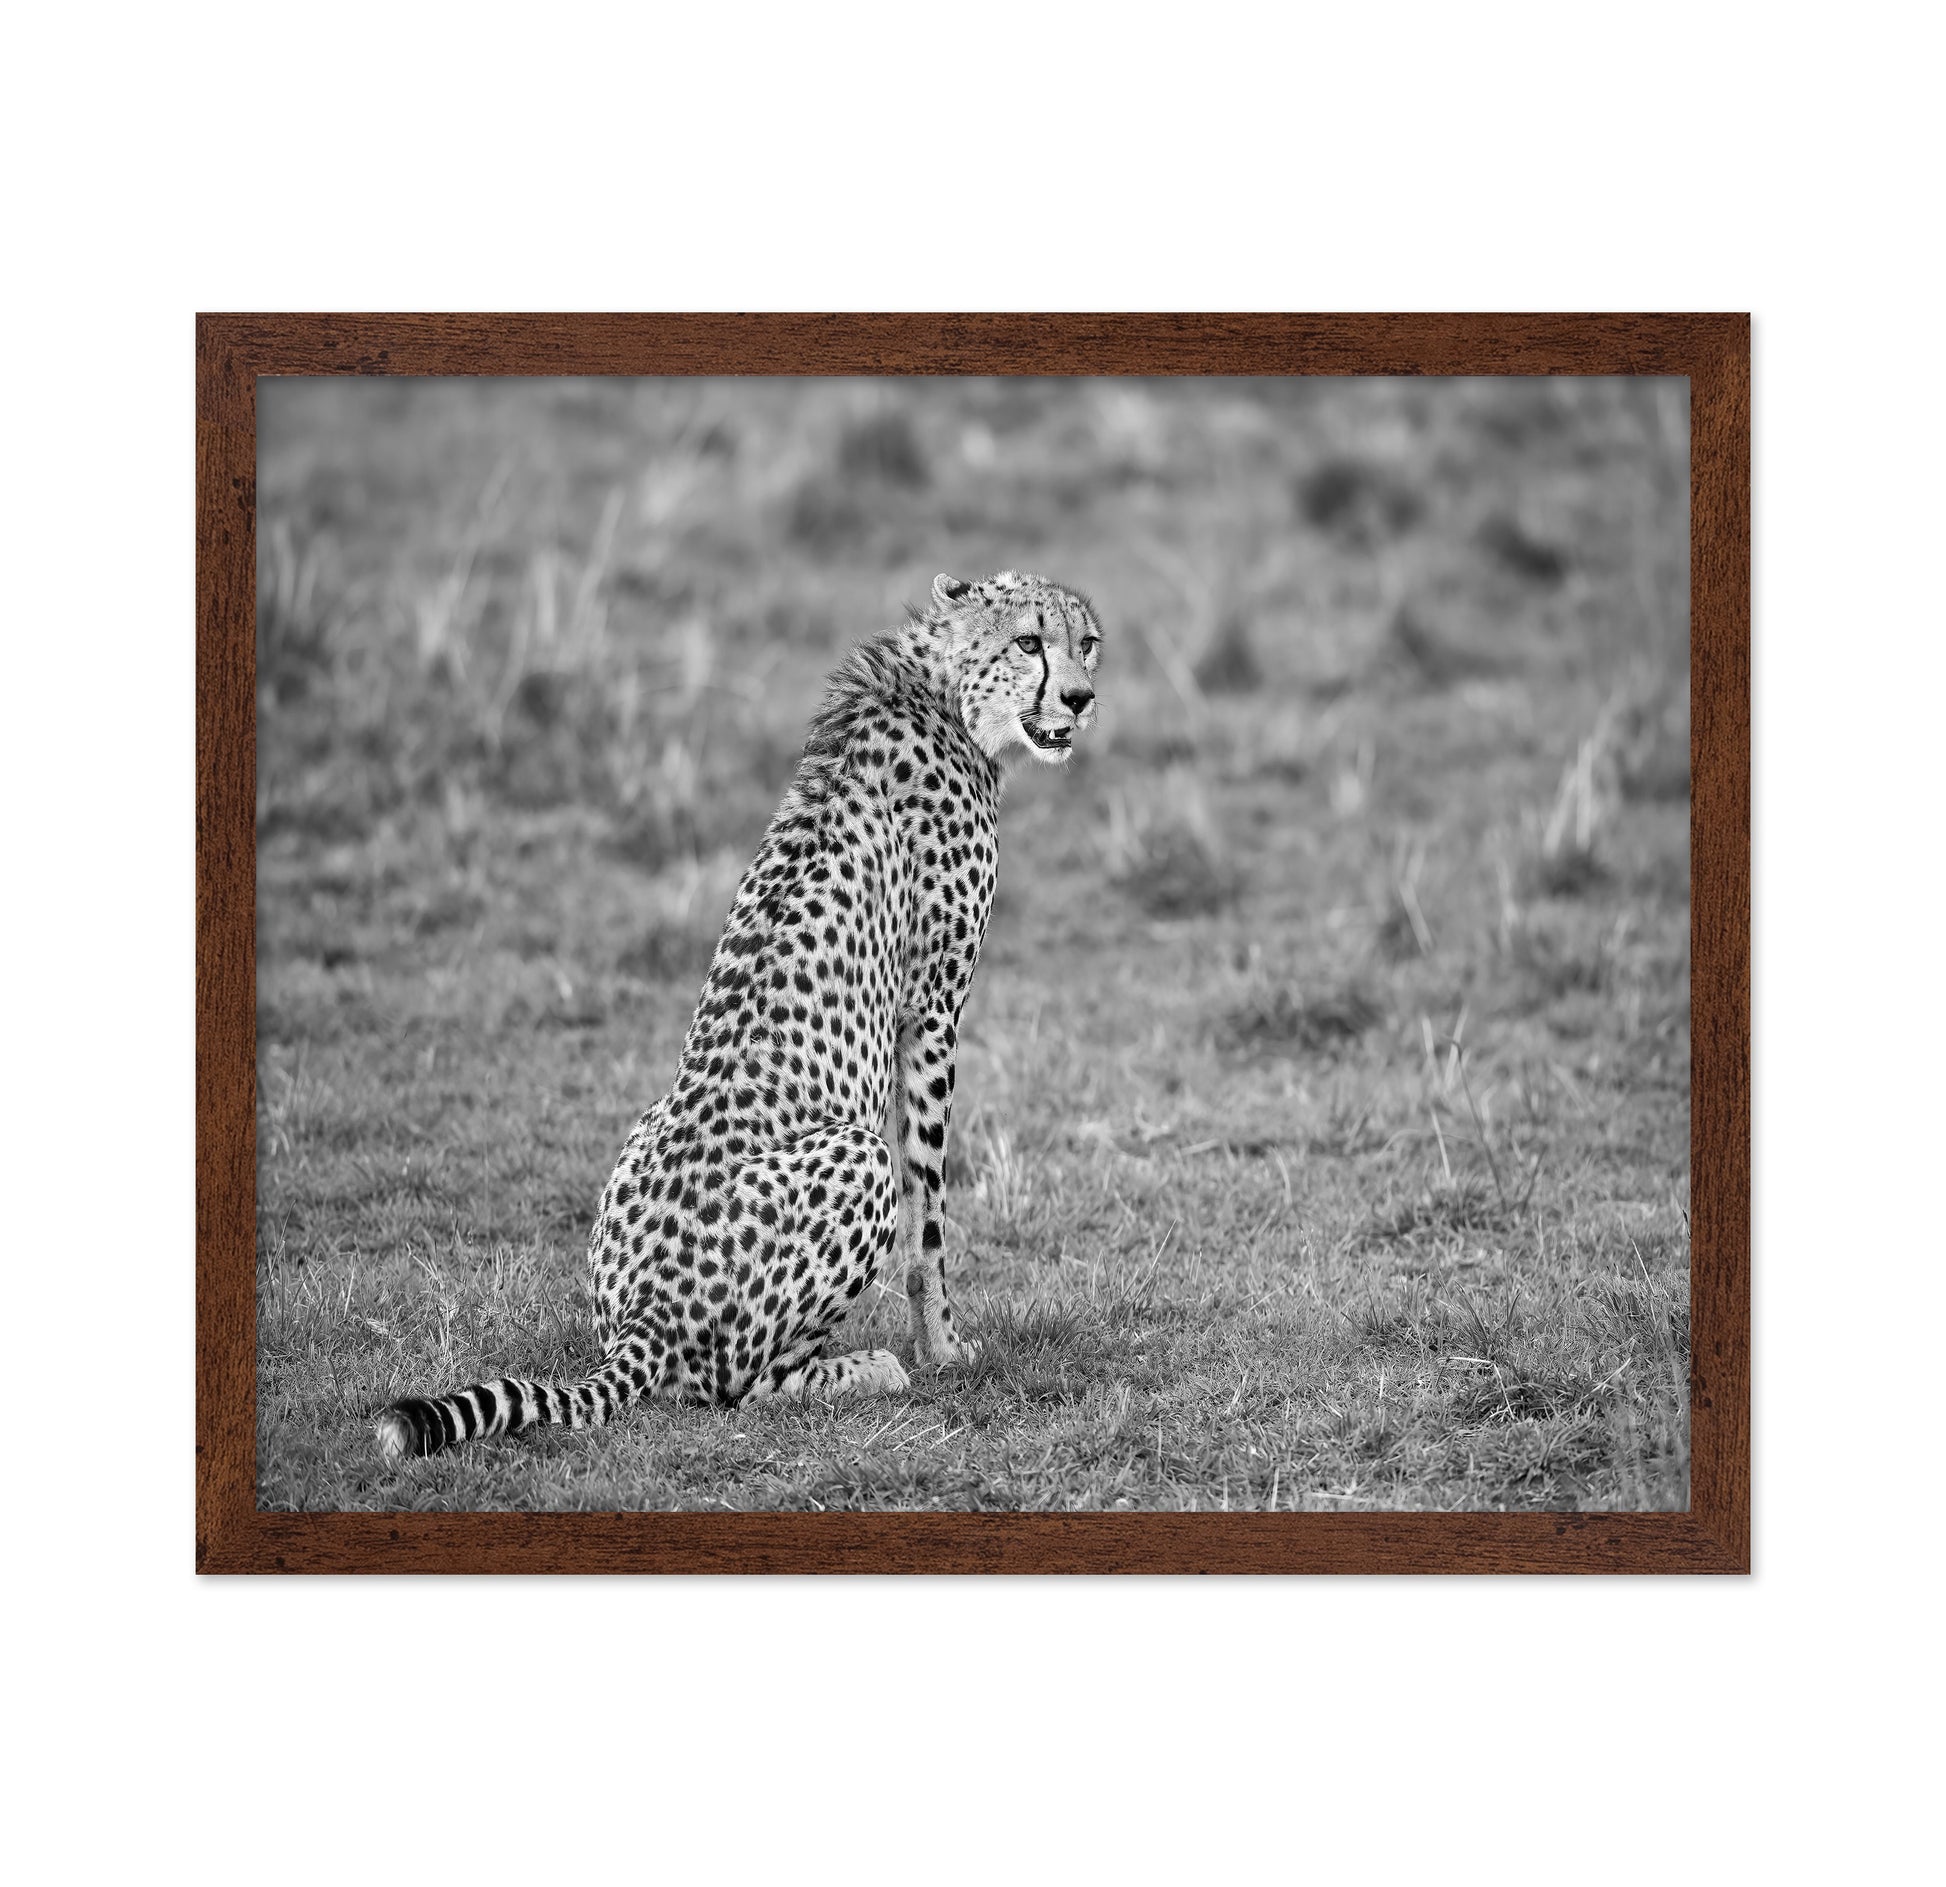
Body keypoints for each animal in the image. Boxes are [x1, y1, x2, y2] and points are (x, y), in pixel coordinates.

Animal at [375, 570, 1102, 1460]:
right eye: (1029, 642)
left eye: (1085, 642)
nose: (1080, 697)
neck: (941, 689)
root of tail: (644, 1317)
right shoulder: (932, 1010)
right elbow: (930, 1215)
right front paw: (944, 1347)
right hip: (855, 1157)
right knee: (739, 1384)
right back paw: (867, 1368)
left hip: (645, 1131)